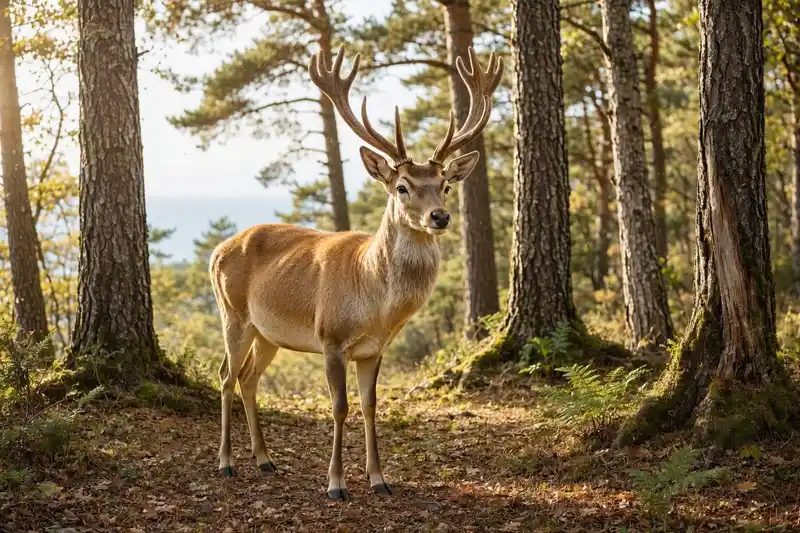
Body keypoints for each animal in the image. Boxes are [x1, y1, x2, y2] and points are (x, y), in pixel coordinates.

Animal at [209, 45, 503, 501]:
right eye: (402, 186)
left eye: (445, 184)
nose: (440, 216)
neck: (376, 305)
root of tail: (217, 250)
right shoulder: (330, 337)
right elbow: (339, 405)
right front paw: (336, 484)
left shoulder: (374, 349)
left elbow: (370, 404)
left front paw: (380, 479)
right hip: (232, 313)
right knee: (224, 376)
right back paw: (225, 463)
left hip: (267, 331)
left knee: (248, 377)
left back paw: (265, 460)